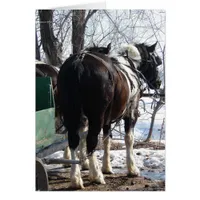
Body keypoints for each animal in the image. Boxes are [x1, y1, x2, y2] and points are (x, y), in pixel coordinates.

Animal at [57, 41, 162, 188]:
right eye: (156, 62)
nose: (159, 82)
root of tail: (79, 61)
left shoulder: (107, 118)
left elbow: (107, 140)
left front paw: (106, 167)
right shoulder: (131, 113)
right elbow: (129, 139)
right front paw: (132, 169)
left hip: (71, 112)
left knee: (73, 140)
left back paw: (76, 178)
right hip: (96, 115)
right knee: (91, 140)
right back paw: (96, 175)